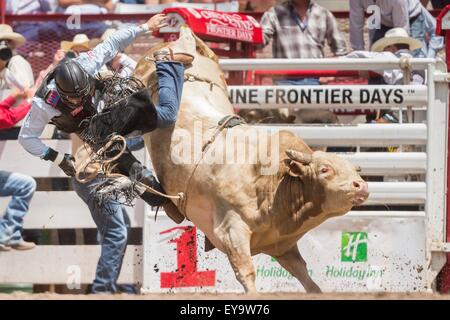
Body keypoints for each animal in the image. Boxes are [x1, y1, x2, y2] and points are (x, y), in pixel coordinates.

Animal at [134, 26, 370, 292]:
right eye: (325, 170)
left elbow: (303, 274)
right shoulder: (230, 231)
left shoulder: (282, 245)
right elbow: (246, 272)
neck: (274, 182)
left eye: (354, 170)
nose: (361, 185)